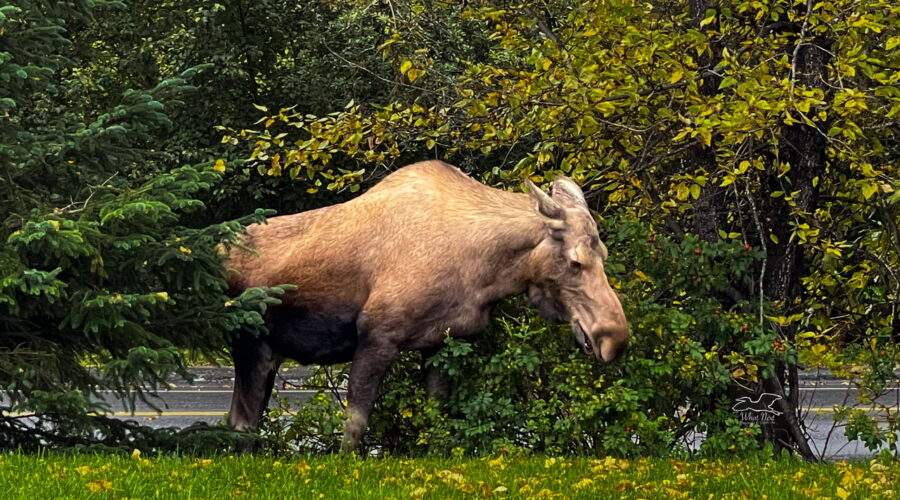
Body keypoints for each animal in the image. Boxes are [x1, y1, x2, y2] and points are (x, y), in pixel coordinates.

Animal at [224, 160, 628, 453]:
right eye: (576, 262)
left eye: (605, 255)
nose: (614, 338)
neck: (487, 272)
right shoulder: (377, 336)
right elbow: (354, 425)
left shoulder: (442, 343)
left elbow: (437, 419)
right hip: (250, 344)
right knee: (243, 424)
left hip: (267, 352)